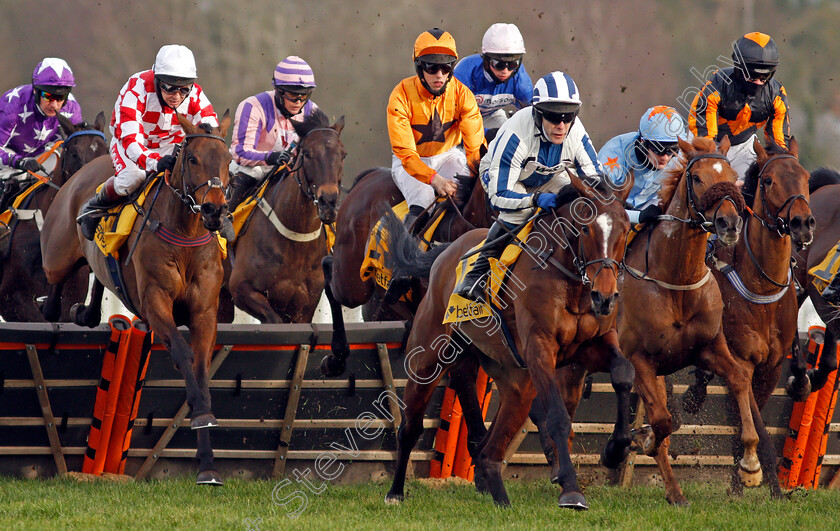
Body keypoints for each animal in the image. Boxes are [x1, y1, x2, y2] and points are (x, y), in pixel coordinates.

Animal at [41, 113, 231, 486]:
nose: (215, 210)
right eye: (192, 158)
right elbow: (183, 353)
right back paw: (57, 305)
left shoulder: (205, 312)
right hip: (56, 255)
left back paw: (86, 312)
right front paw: (199, 413)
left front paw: (208, 463)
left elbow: (202, 368)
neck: (185, 234)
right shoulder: (155, 303)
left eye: (228, 159)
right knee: (56, 283)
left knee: (96, 273)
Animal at [221, 110, 346, 322]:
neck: (296, 244)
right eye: (307, 154)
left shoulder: (304, 308)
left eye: (343, 154)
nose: (328, 202)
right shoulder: (241, 289)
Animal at [384, 172, 632, 510]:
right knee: (410, 426)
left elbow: (623, 373)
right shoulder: (539, 348)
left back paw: (500, 499)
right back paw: (395, 492)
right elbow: (557, 415)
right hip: (428, 356)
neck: (574, 289)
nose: (605, 297)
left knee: (490, 450)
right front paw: (571, 489)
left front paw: (616, 448)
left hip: (516, 382)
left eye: (625, 229)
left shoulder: (595, 343)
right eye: (585, 228)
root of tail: (444, 254)